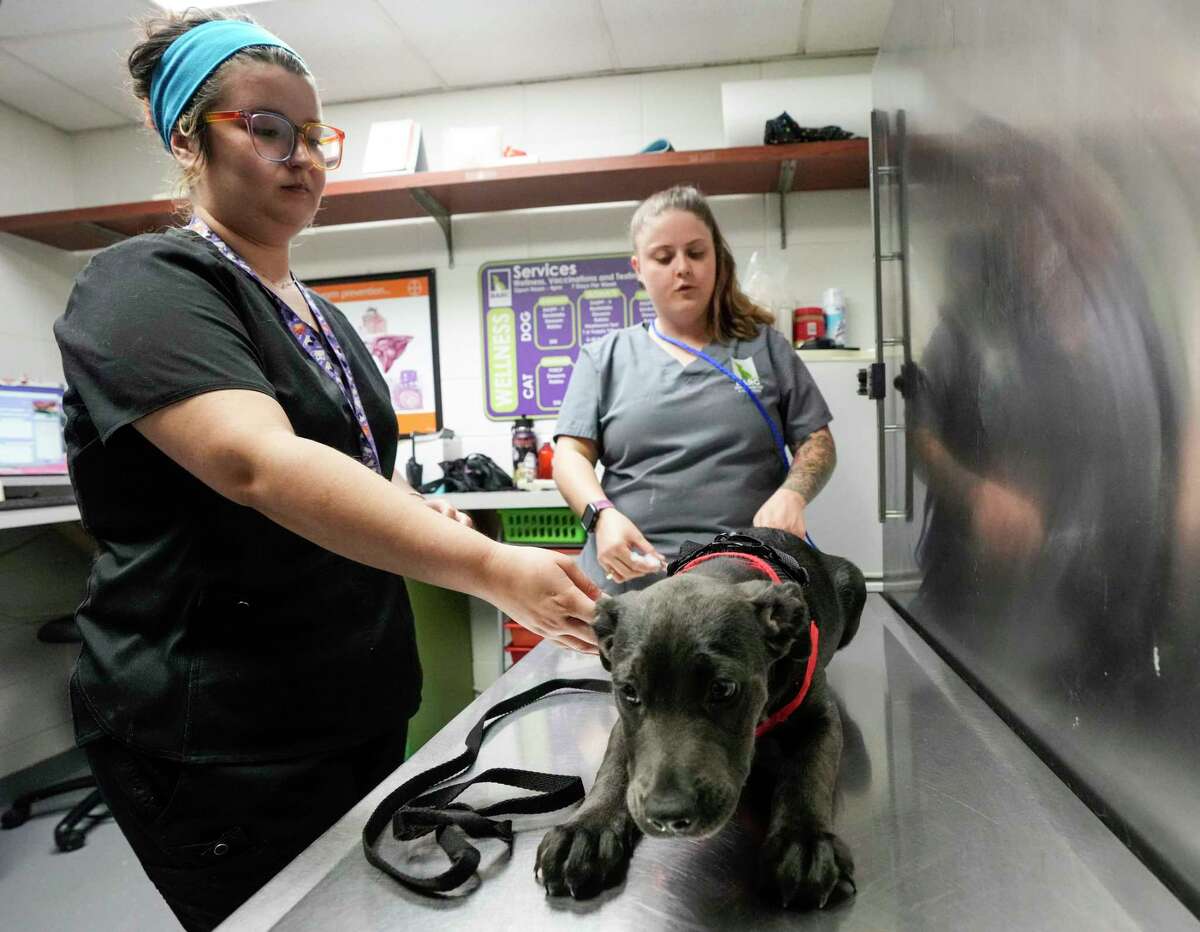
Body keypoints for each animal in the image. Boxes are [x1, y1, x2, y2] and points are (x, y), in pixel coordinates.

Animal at [535, 530, 864, 906]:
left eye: (723, 689)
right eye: (629, 691)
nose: (668, 815)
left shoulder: (820, 718)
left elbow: (809, 773)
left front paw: (803, 843)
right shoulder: (623, 724)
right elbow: (613, 769)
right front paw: (587, 829)